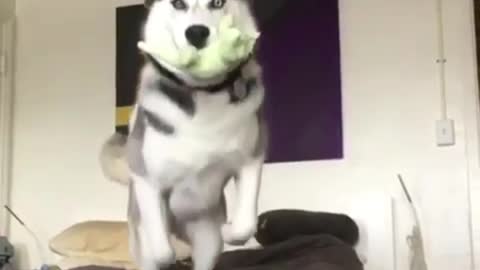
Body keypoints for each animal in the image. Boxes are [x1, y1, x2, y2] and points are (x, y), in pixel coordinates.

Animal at [101, 0, 266, 270]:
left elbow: (245, 226)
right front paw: (166, 254)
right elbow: (161, 252)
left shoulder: (251, 160)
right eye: (178, 3)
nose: (197, 32)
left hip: (207, 238)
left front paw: (231, 231)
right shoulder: (146, 178)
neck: (202, 93)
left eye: (218, 3)